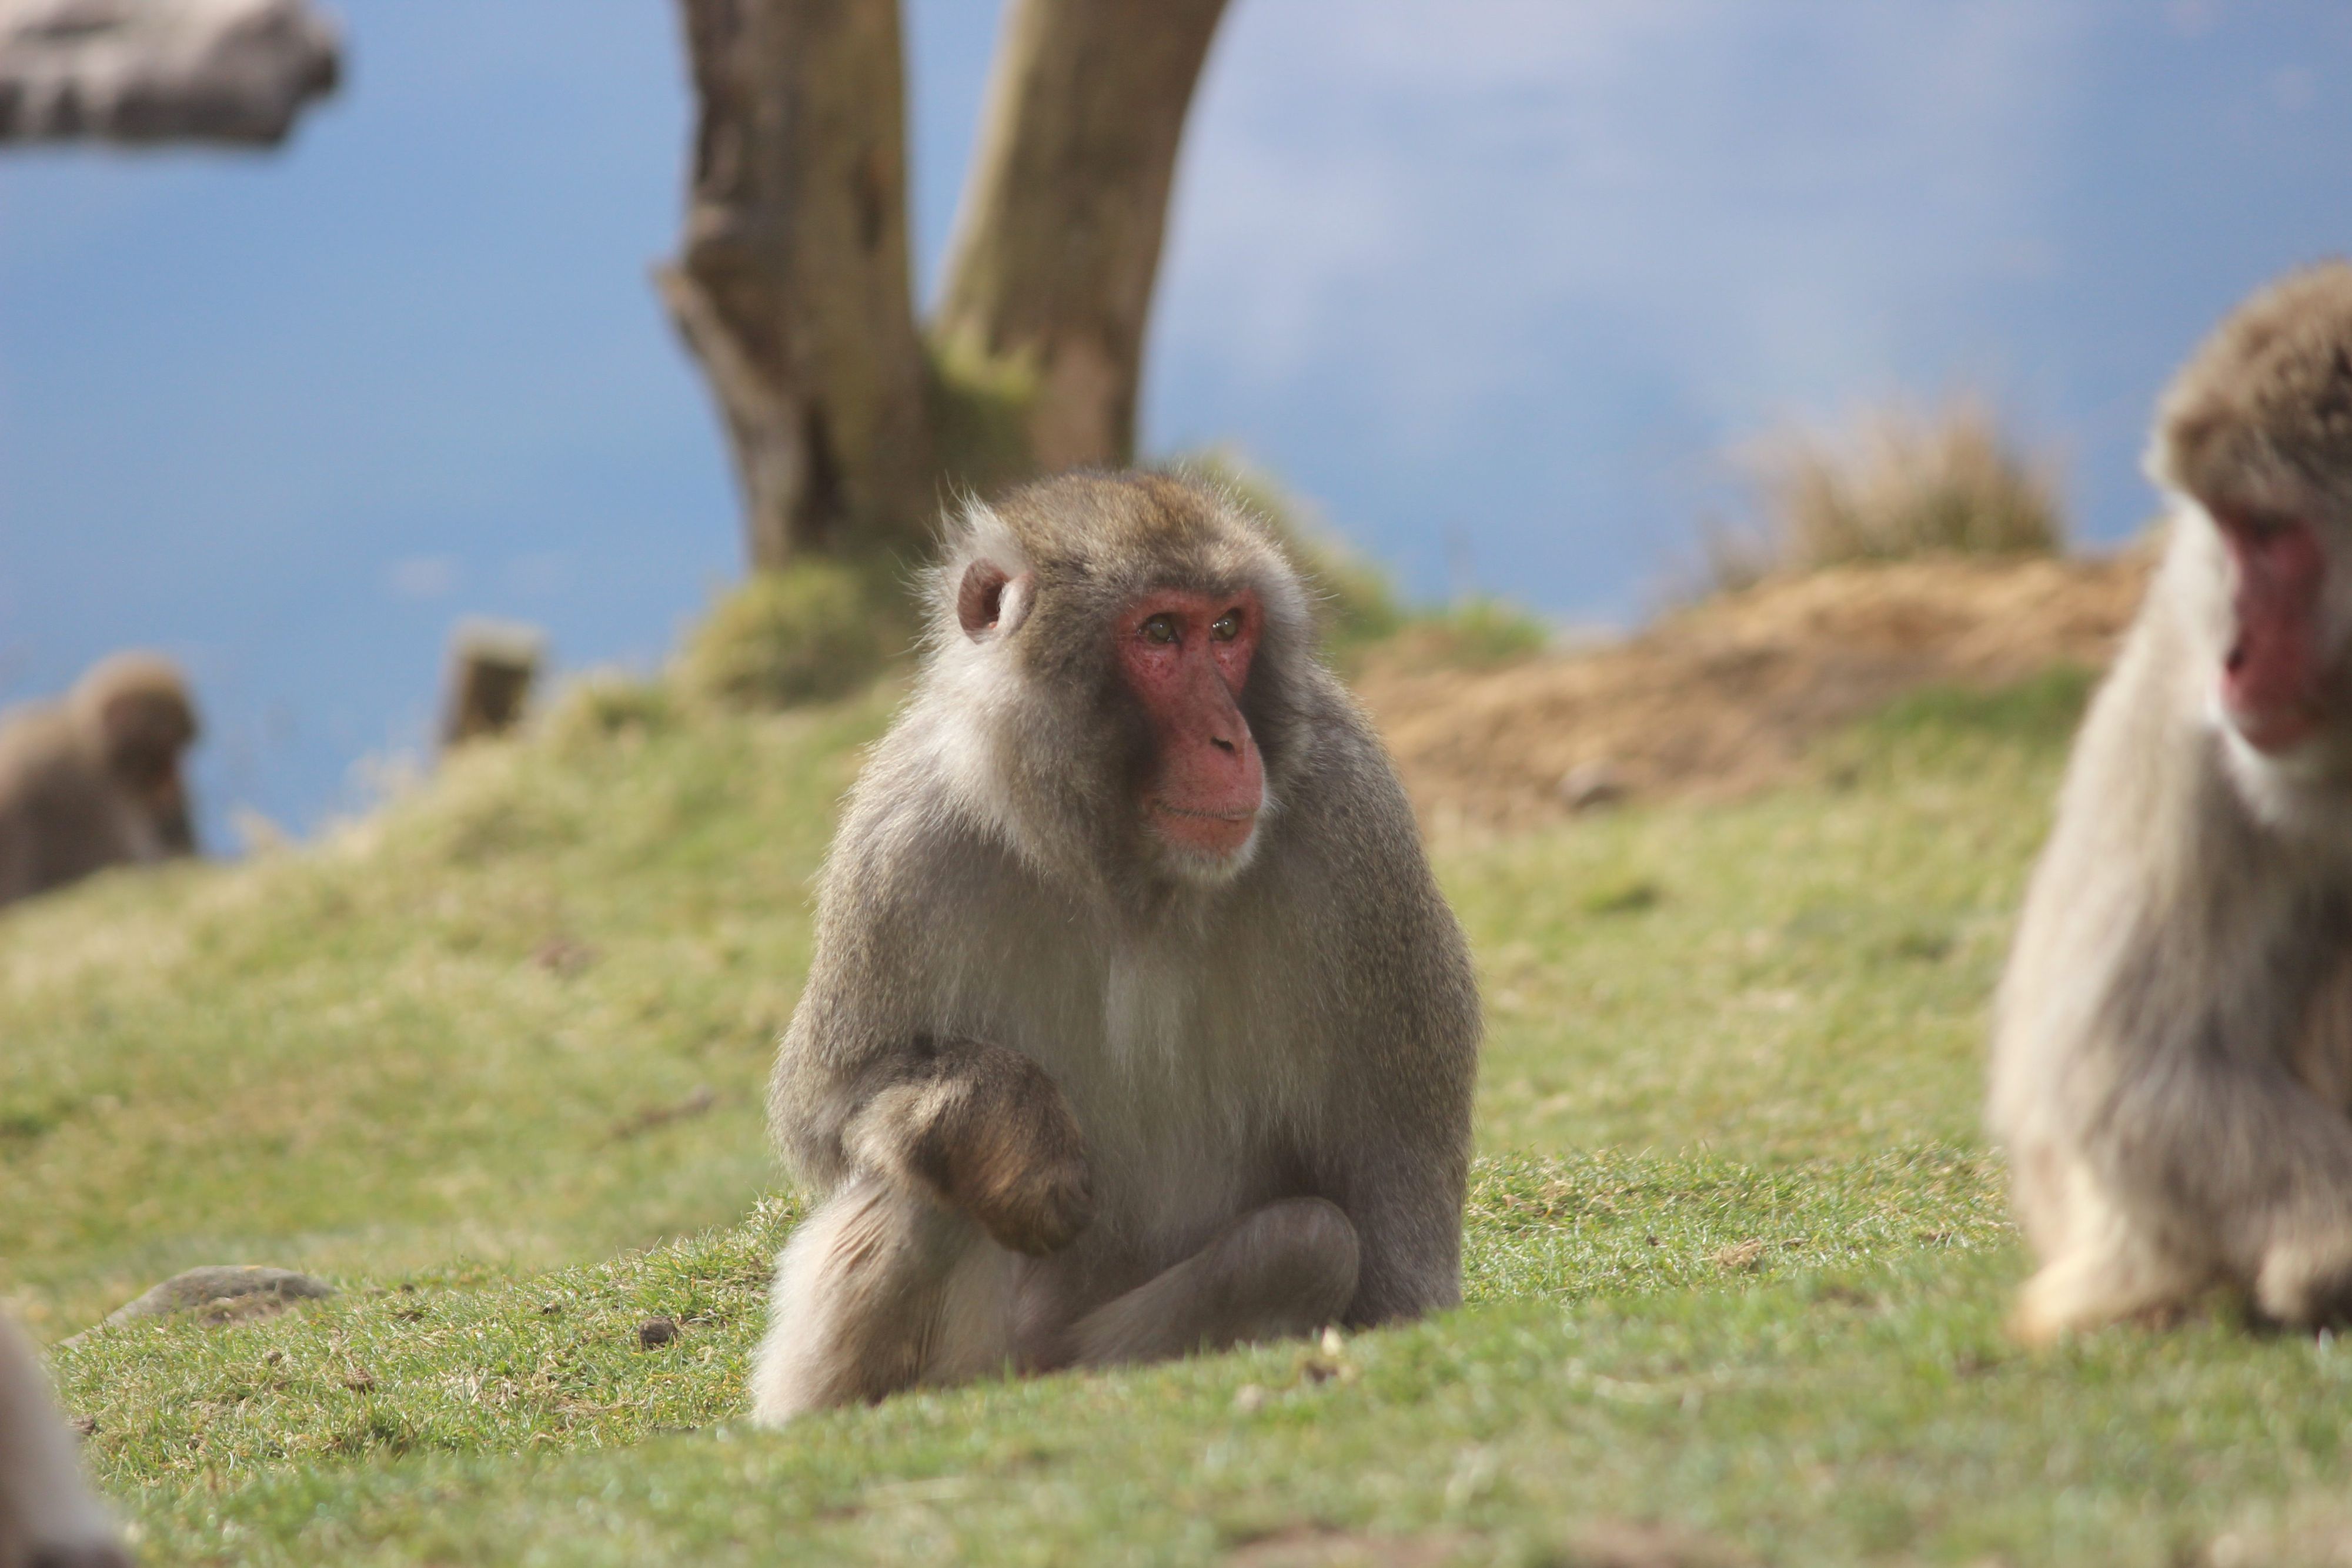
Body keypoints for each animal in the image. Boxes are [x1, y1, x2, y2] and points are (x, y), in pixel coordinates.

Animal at [747, 471, 1481, 1422]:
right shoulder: (899, 844)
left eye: (1228, 629)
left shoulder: (1358, 831)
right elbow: (827, 1106)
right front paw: (1004, 1126)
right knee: (924, 1184)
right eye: (1159, 633)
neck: (1124, 869)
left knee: (1305, 1241)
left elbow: (1393, 1162)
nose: (1231, 741)